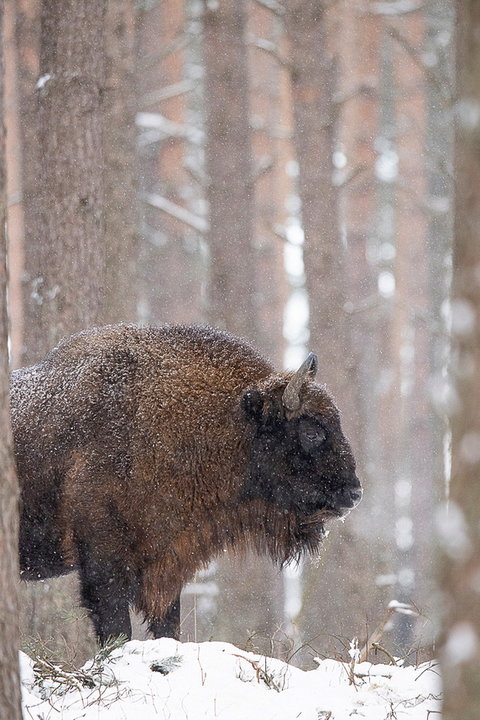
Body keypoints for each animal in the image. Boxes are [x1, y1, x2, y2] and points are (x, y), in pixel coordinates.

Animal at [11, 324, 362, 640]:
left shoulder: (168, 564)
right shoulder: (104, 561)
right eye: (311, 431)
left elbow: (168, 626)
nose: (354, 492)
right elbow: (117, 629)